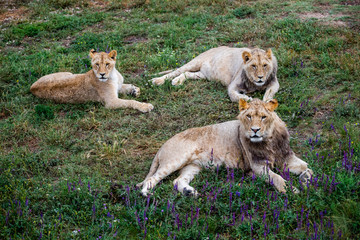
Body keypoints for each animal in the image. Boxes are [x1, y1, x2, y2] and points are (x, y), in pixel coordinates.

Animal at [138, 98, 312, 196]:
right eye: (249, 116)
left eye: (263, 117)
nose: (255, 130)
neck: (269, 141)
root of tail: (163, 146)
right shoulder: (257, 166)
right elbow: (278, 178)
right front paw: (291, 190)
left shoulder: (287, 157)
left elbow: (308, 168)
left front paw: (305, 180)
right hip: (176, 160)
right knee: (153, 178)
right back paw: (146, 193)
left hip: (193, 166)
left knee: (178, 181)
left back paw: (190, 192)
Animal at [150, 47, 280, 102]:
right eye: (253, 66)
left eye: (265, 65)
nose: (260, 77)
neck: (254, 84)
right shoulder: (232, 86)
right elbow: (234, 96)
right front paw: (247, 99)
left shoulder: (274, 83)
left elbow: (270, 91)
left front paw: (267, 100)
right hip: (194, 63)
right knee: (176, 71)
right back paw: (157, 80)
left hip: (203, 74)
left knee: (187, 74)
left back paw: (177, 81)